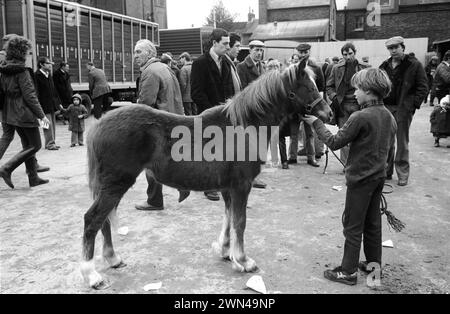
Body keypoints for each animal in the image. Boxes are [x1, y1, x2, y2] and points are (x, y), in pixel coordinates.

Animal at [81, 59, 332, 290]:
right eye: (308, 87)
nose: (328, 113)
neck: (243, 126)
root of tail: (98, 125)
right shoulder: (241, 186)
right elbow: (240, 221)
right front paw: (243, 260)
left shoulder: (228, 187)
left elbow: (228, 218)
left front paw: (225, 250)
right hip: (116, 184)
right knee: (93, 219)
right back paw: (92, 275)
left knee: (103, 220)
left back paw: (113, 258)